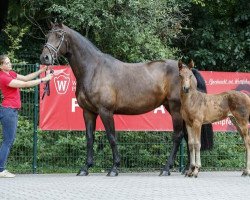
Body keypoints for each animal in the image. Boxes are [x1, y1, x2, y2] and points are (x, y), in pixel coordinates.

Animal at [40, 23, 213, 177]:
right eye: (47, 35)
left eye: (59, 35)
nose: (45, 57)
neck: (93, 69)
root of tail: (188, 71)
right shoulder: (88, 112)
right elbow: (90, 138)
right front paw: (85, 168)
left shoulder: (105, 111)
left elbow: (111, 137)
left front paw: (114, 168)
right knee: (187, 136)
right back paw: (188, 169)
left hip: (175, 109)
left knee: (177, 136)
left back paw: (166, 169)